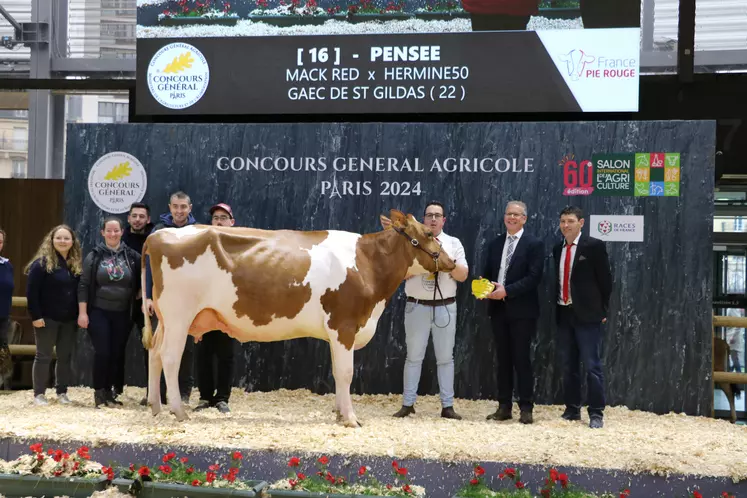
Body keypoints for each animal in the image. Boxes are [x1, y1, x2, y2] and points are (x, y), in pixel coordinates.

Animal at [140, 208, 456, 426]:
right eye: (429, 234)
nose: (453, 261)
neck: (367, 263)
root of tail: (157, 236)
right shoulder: (344, 325)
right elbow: (346, 372)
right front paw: (351, 419)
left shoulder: (337, 332)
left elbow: (336, 372)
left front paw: (340, 414)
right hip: (179, 314)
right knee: (170, 357)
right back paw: (178, 412)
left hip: (165, 317)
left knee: (154, 352)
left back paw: (156, 407)